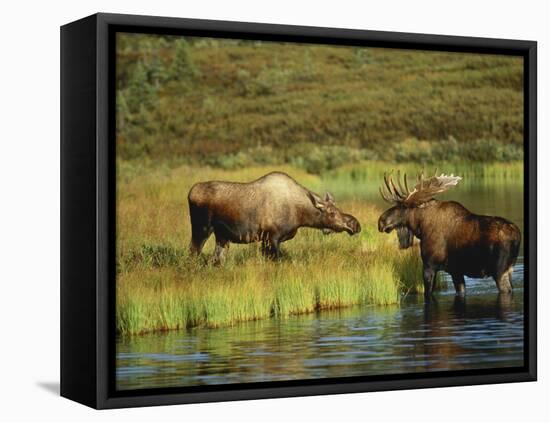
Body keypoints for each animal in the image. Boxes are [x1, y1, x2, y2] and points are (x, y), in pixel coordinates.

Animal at [189, 171, 362, 264]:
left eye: (338, 209)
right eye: (332, 213)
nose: (355, 224)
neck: (300, 215)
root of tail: (190, 193)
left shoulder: (266, 241)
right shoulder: (272, 237)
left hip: (222, 237)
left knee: (215, 260)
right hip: (201, 229)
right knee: (193, 252)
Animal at [378, 172, 524, 298]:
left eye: (402, 206)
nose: (381, 221)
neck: (420, 227)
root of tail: (517, 236)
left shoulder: (429, 266)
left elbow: (428, 294)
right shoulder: (456, 271)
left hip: (500, 271)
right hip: (509, 268)